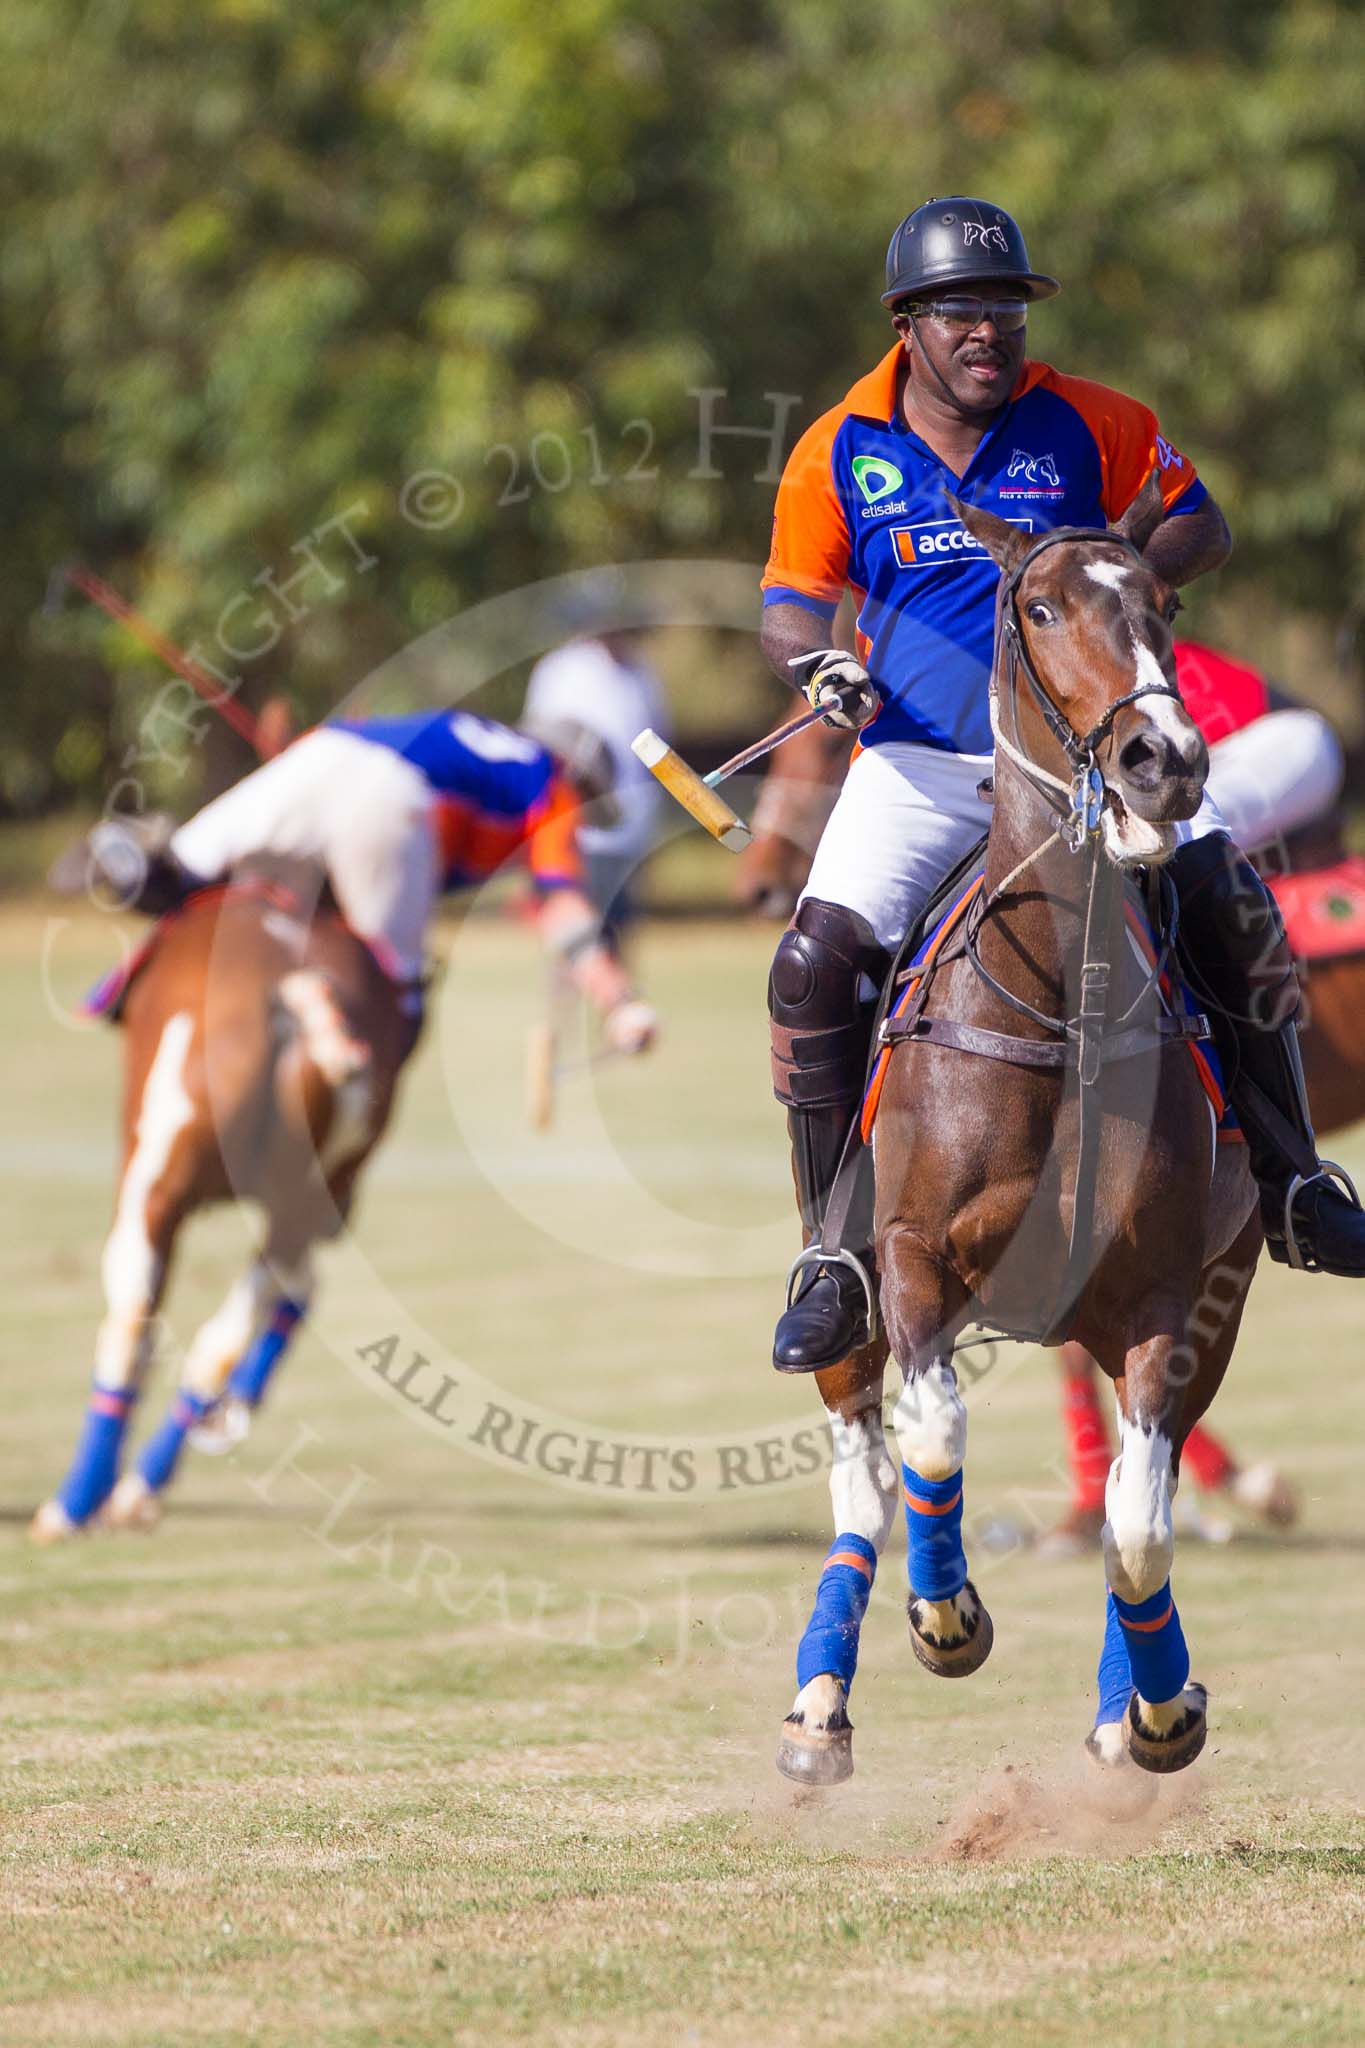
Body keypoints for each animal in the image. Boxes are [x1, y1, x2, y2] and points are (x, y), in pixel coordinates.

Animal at [29, 880, 409, 1540]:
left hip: (156, 1192)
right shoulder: (324, 1207)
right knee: (224, 1337)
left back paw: (76, 1505)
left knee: (133, 1328)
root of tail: (300, 993)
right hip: (301, 1210)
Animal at [777, 475, 1260, 1777]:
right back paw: (820, 1701)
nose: (1164, 761)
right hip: (843, 1302)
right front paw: (947, 1618)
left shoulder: (1164, 1298)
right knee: (860, 1472)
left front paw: (1162, 1709)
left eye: (1165, 602)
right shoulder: (909, 1258)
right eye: (1037, 609)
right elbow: (936, 1435)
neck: (1060, 999)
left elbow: (1139, 1524)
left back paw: (1130, 1705)